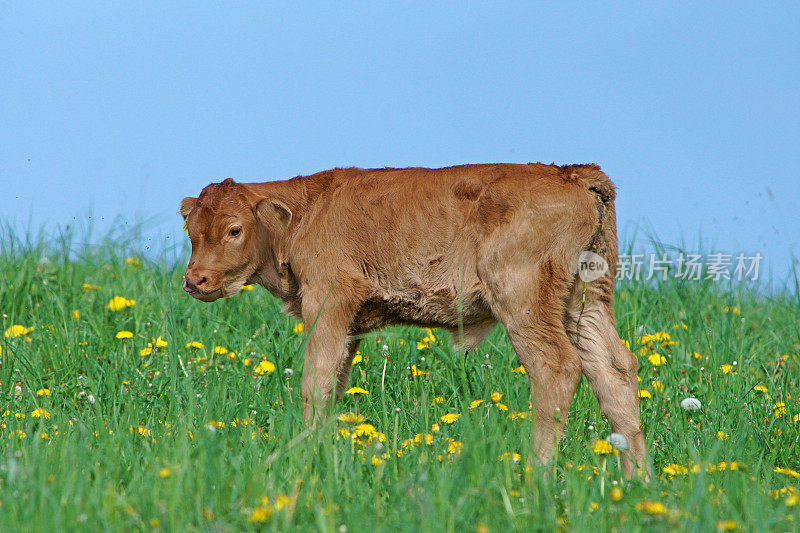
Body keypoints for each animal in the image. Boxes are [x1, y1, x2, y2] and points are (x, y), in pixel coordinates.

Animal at [178, 162, 648, 474]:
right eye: (191, 231)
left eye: (234, 229)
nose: (195, 279)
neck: (306, 212)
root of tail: (573, 174)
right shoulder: (348, 325)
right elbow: (334, 383)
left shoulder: (327, 302)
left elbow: (316, 380)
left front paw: (304, 455)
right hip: (585, 303)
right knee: (615, 370)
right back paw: (636, 481)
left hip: (524, 301)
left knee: (556, 366)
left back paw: (537, 474)